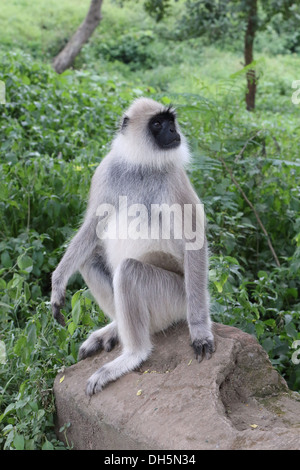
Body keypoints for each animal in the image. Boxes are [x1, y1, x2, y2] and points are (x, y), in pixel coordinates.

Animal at [52, 97, 216, 394]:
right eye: (157, 124)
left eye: (170, 122)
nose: (173, 132)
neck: (142, 164)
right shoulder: (106, 170)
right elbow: (92, 226)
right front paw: (58, 282)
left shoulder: (173, 178)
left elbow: (194, 242)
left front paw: (199, 332)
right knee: (88, 260)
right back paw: (117, 329)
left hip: (177, 298)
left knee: (129, 271)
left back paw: (132, 355)